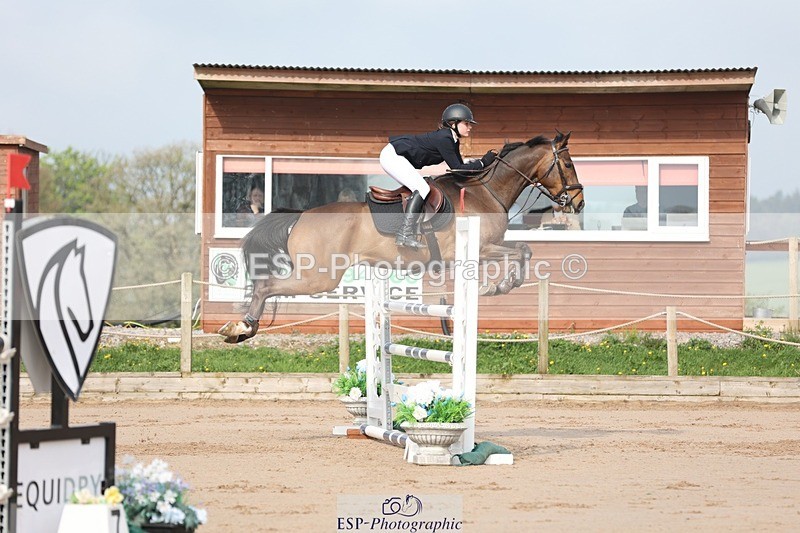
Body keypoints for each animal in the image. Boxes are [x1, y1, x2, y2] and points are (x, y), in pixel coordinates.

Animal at [219, 131, 584, 343]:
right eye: (567, 163)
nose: (578, 202)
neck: (485, 191)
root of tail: (302, 215)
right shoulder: (479, 249)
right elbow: (520, 251)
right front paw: (498, 286)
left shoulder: (486, 248)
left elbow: (524, 248)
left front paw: (502, 284)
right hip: (319, 276)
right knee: (266, 286)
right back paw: (242, 328)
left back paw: (242, 328)